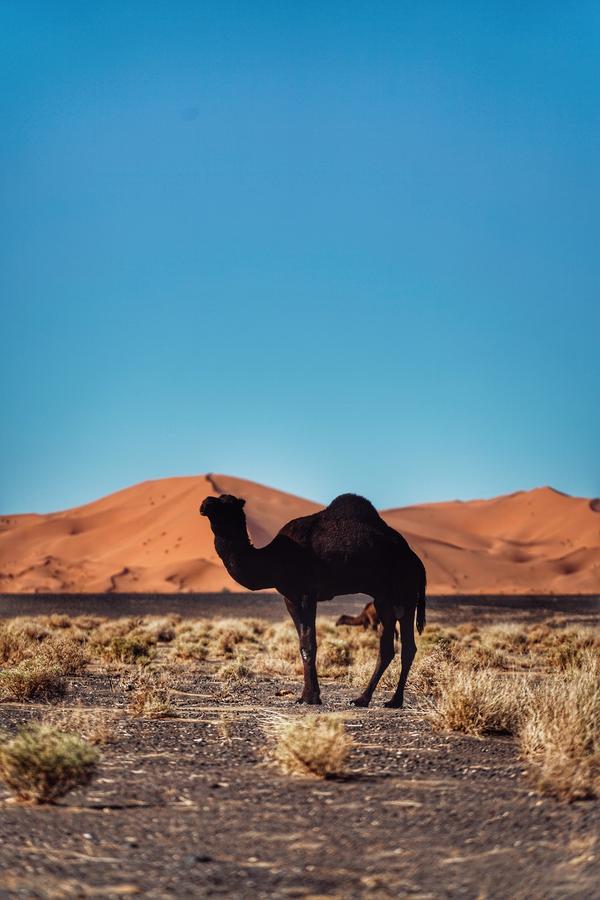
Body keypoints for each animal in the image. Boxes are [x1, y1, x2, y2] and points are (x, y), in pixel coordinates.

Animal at [202, 492, 426, 712]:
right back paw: (371, 699)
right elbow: (302, 643)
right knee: (393, 646)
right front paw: (306, 696)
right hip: (385, 598)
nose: (204, 504)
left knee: (405, 646)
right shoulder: (290, 597)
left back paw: (386, 700)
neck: (275, 558)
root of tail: (417, 562)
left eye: (228, 504)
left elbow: (309, 642)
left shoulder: (306, 593)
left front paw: (310, 697)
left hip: (403, 594)